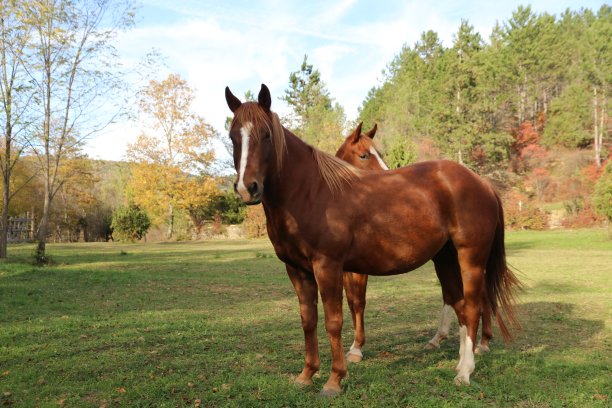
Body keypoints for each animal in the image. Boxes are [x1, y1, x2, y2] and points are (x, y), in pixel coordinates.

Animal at [334, 123, 498, 360]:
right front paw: (355, 346)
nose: (386, 178)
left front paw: (356, 348)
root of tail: (484, 184)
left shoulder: (359, 270)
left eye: (380, 153)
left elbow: (359, 302)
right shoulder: (344, 268)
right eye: (363, 155)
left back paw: (481, 342)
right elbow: (351, 302)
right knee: (455, 294)